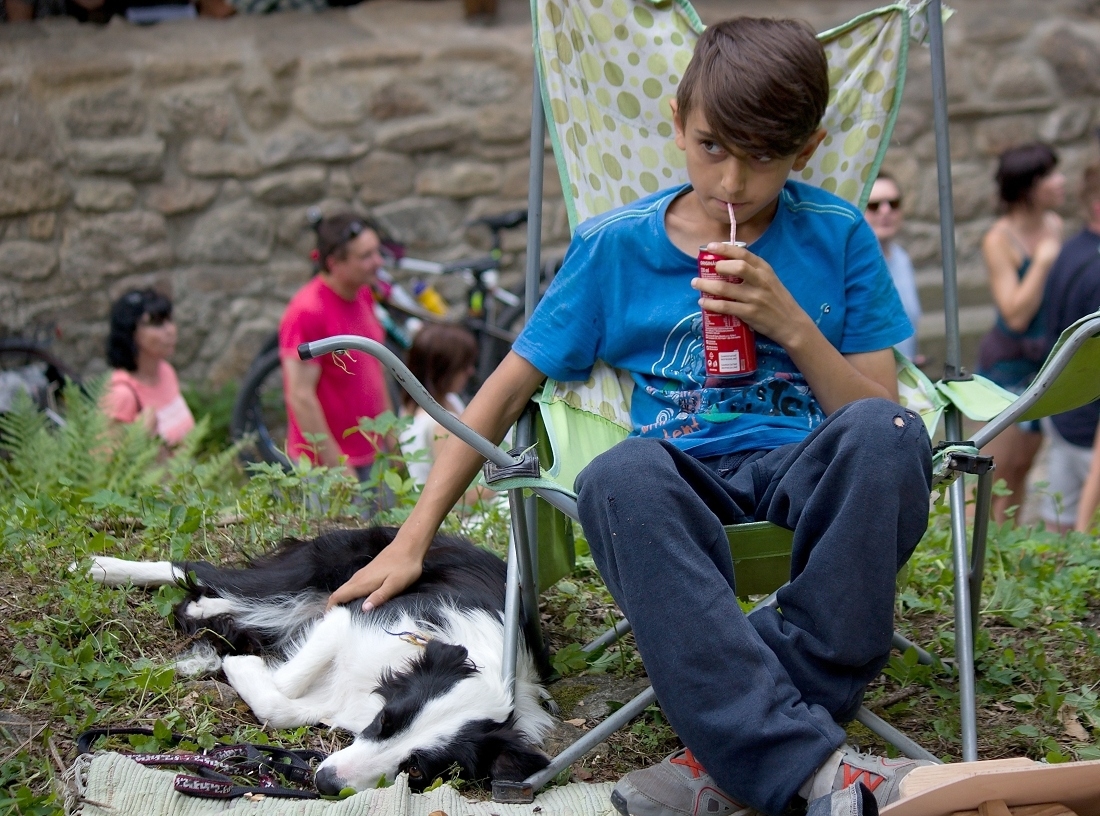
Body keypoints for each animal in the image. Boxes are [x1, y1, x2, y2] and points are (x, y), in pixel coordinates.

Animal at [86, 527, 554, 796]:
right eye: (385, 722)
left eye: (415, 770)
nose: (324, 783)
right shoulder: (351, 618)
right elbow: (287, 684)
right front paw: (242, 664)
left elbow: (284, 707)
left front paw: (238, 664)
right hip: (322, 572)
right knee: (196, 570)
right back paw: (102, 568)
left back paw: (208, 615)